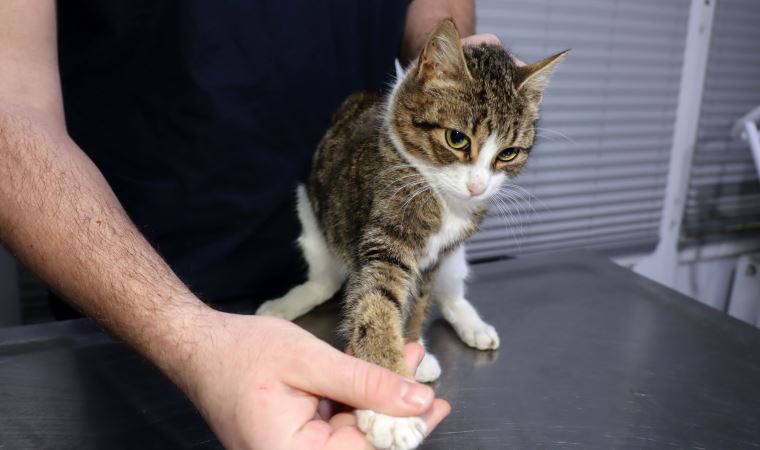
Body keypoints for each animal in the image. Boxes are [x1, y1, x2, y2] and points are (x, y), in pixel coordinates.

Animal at [258, 19, 568, 450]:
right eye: (457, 139)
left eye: (508, 154)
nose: (478, 188)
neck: (439, 194)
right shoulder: (386, 228)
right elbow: (375, 301)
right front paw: (389, 405)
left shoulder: (438, 255)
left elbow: (418, 300)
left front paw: (411, 350)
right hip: (311, 216)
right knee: (325, 280)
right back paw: (285, 305)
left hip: (456, 259)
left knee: (450, 291)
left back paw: (471, 324)